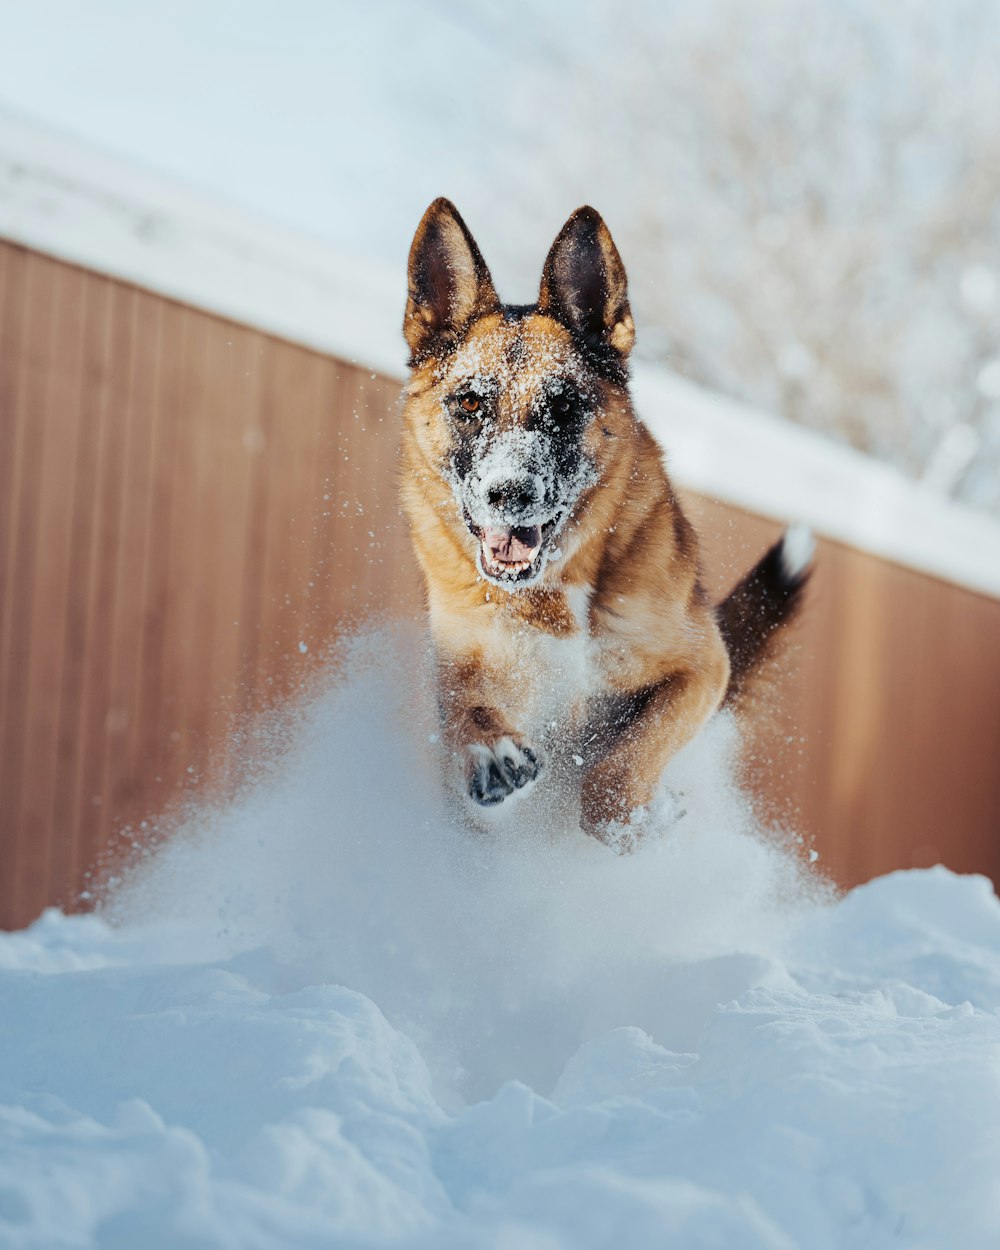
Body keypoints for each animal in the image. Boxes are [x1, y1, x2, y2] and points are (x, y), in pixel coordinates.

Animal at [395, 200, 810, 845]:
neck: (556, 592)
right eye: (469, 404)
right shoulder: (466, 670)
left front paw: (634, 816)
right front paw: (489, 752)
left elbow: (620, 768)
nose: (508, 494)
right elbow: (467, 707)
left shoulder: (701, 668)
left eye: (564, 406)